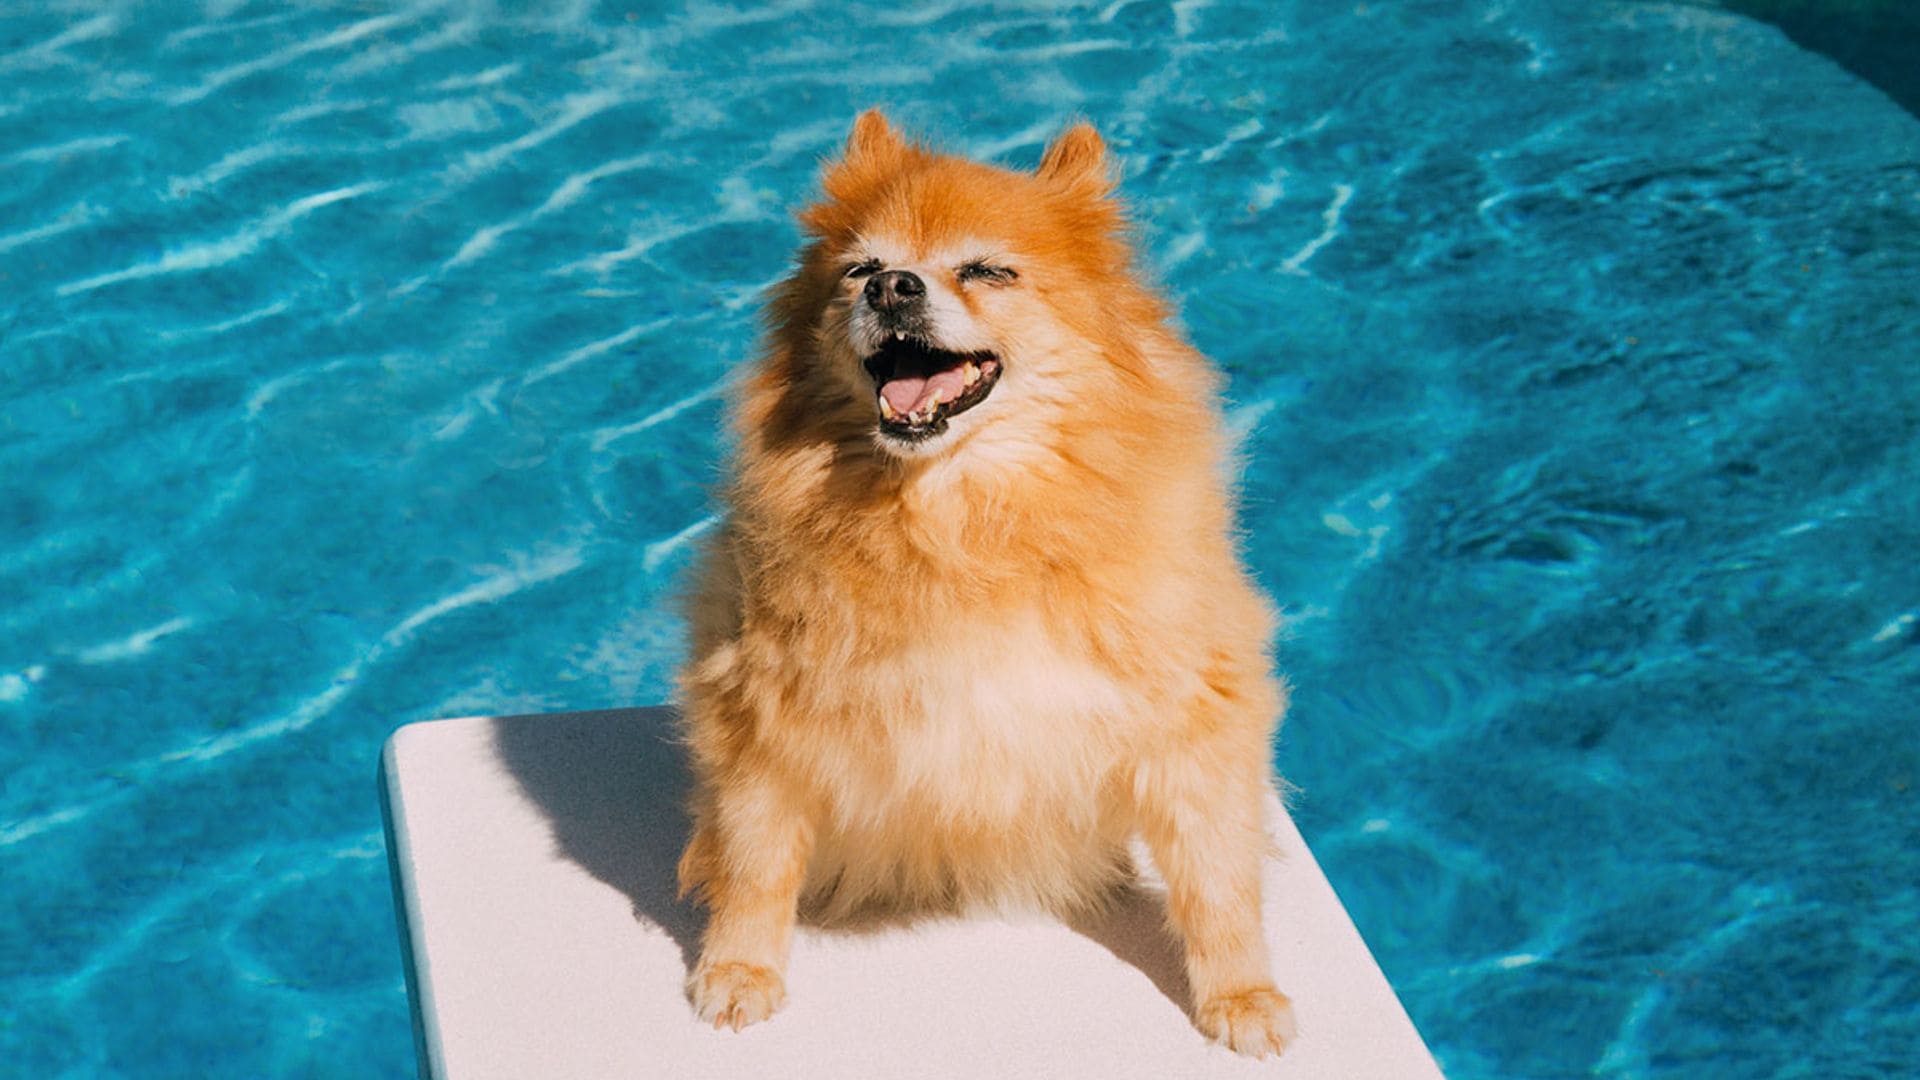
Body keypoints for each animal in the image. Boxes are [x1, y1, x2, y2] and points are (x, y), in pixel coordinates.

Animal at [672, 107, 1290, 1053]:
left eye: (987, 271)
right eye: (859, 270)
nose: (892, 288)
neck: (961, 519)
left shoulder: (1193, 707)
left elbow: (1217, 873)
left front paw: (1242, 992)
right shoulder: (763, 711)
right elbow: (755, 858)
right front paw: (740, 967)